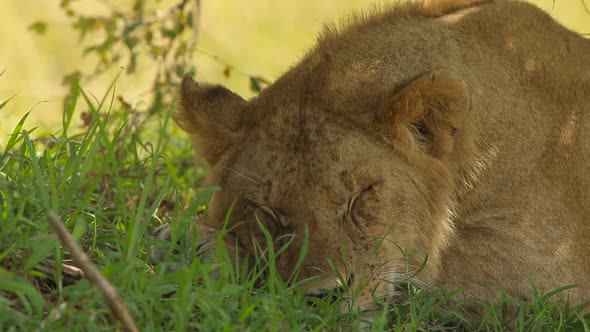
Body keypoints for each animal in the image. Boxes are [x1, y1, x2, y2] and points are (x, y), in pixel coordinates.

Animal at [162, 0, 590, 322]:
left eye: (360, 197)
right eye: (268, 210)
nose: (322, 298)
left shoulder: (548, 277)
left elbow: (423, 277)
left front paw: (198, 244)